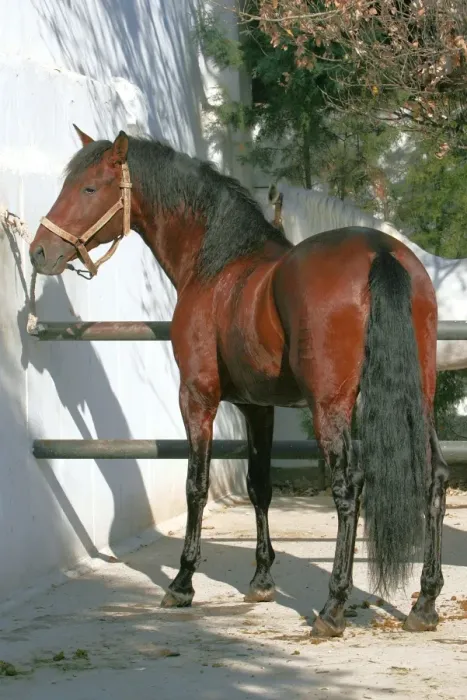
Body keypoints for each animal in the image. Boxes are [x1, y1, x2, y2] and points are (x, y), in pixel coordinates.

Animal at [29, 126, 449, 638]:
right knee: (435, 479)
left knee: (349, 488)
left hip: (331, 406)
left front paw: (182, 583)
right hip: (419, 399)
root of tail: (381, 252)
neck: (217, 265)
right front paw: (262, 580)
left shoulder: (198, 397)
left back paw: (332, 607)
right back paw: (424, 603)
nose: (40, 252)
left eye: (89, 188)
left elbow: (196, 484)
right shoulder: (257, 406)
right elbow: (259, 485)